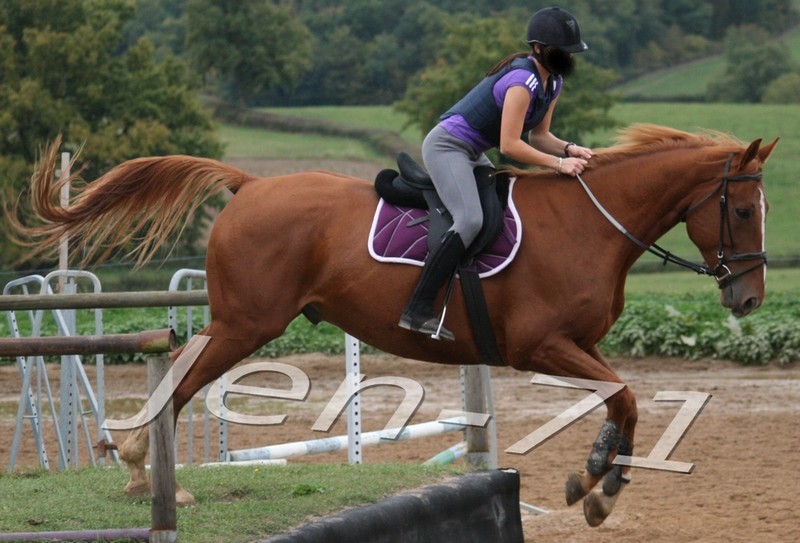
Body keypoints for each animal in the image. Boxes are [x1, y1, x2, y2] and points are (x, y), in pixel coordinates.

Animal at [17, 126, 776, 528]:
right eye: (742, 210)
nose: (749, 298)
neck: (591, 223)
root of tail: (250, 184)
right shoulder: (543, 345)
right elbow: (626, 396)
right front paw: (597, 484)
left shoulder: (579, 345)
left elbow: (623, 401)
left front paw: (595, 481)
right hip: (247, 322)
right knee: (180, 378)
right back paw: (151, 476)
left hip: (242, 320)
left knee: (180, 371)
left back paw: (137, 464)